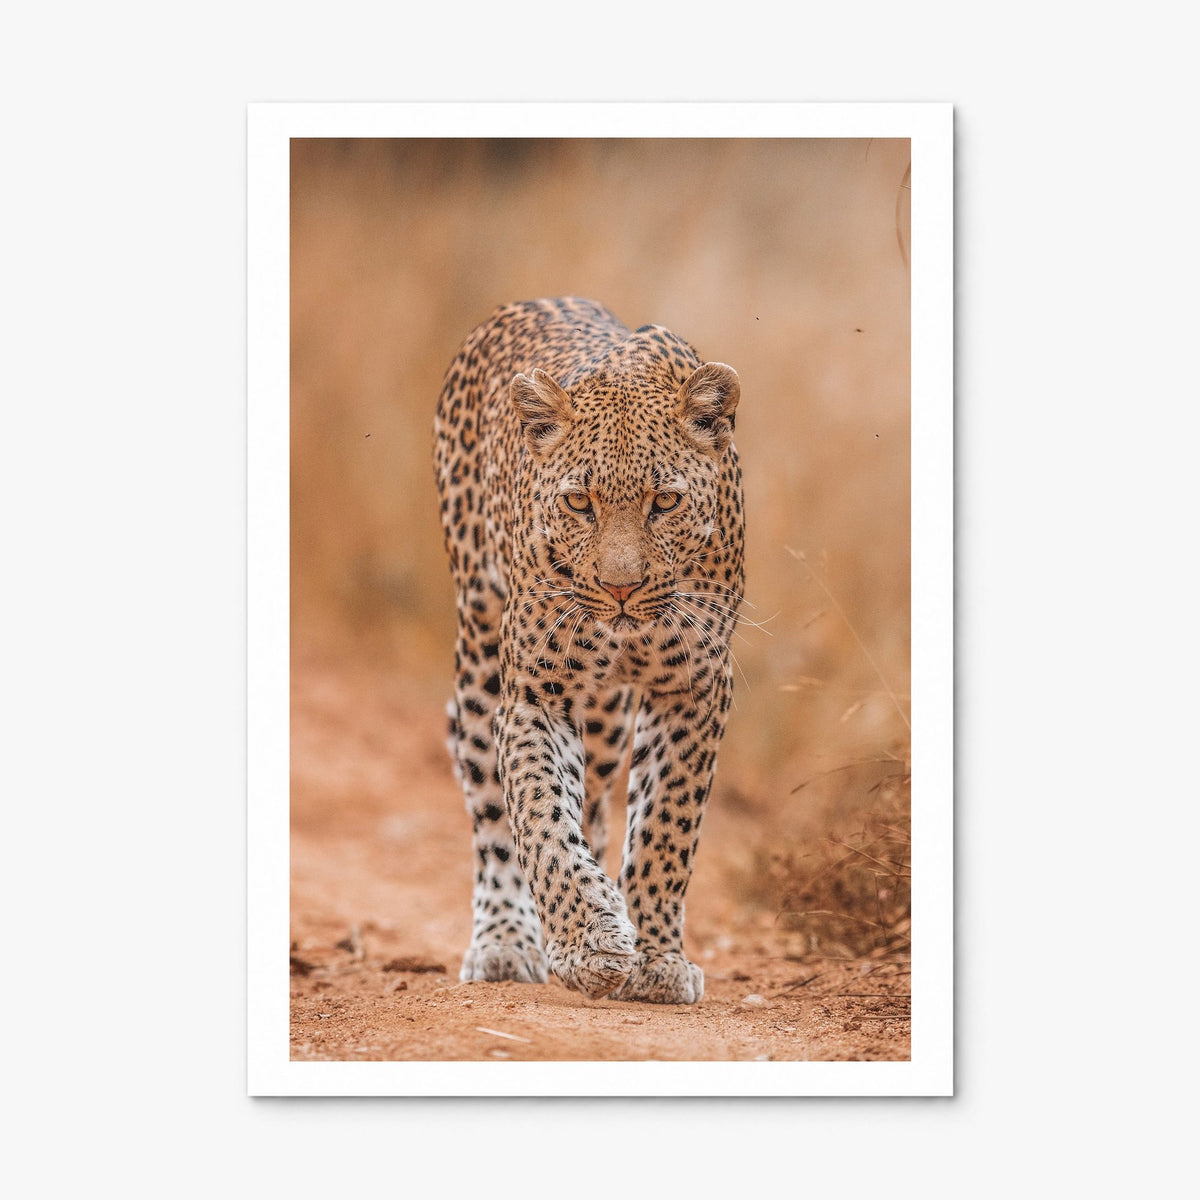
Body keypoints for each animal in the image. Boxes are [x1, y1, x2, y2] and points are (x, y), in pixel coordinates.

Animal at [433, 297, 744, 1005]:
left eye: (665, 501)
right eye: (578, 501)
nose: (620, 587)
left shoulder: (694, 687)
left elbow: (665, 826)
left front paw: (655, 958)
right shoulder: (536, 692)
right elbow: (541, 817)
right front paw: (588, 942)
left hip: (605, 720)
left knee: (599, 802)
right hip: (479, 655)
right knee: (491, 806)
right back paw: (506, 942)